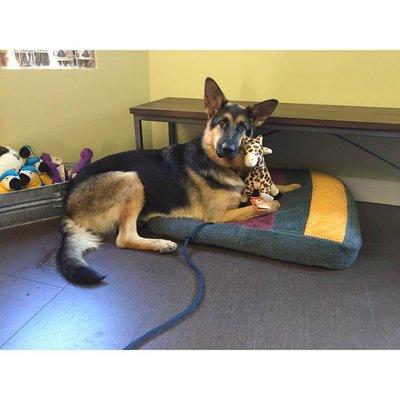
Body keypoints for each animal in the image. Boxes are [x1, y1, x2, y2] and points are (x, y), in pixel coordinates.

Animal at [57, 78, 300, 284]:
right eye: (222, 123)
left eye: (242, 127)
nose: (227, 149)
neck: (217, 161)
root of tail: (67, 205)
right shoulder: (217, 217)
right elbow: (269, 205)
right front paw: (270, 202)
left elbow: (273, 190)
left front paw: (291, 186)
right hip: (130, 178)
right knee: (124, 238)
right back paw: (161, 244)